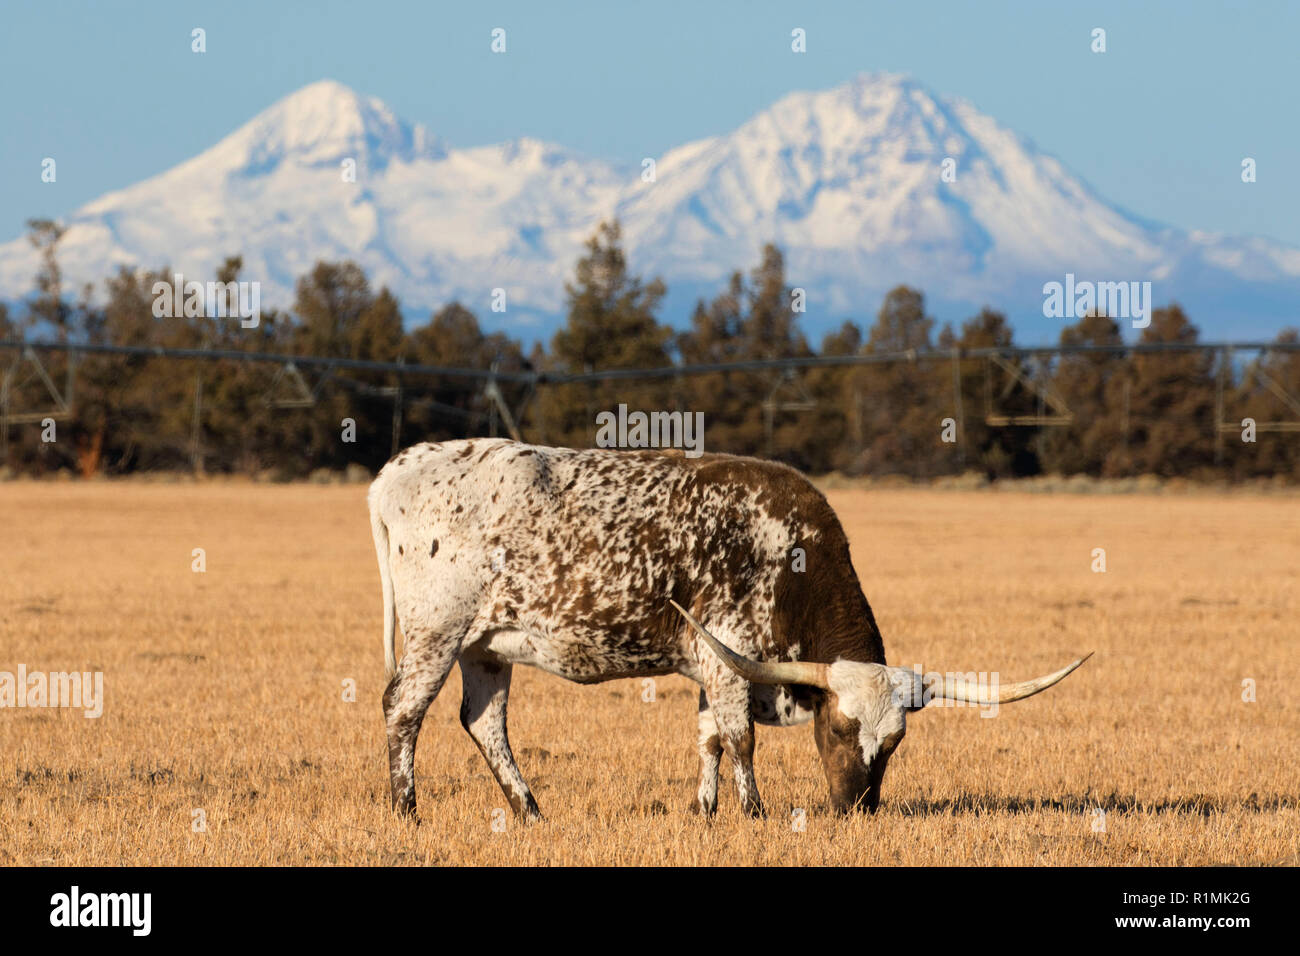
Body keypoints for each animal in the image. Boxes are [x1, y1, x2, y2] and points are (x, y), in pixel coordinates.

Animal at [366, 442, 1086, 822]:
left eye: (896, 743)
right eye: (838, 730)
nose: (857, 808)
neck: (792, 554)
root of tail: (399, 468)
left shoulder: (713, 668)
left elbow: (709, 736)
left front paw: (706, 811)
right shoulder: (729, 655)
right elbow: (740, 739)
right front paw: (754, 813)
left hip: (485, 646)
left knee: (484, 721)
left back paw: (531, 811)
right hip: (437, 632)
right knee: (403, 709)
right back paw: (407, 809)